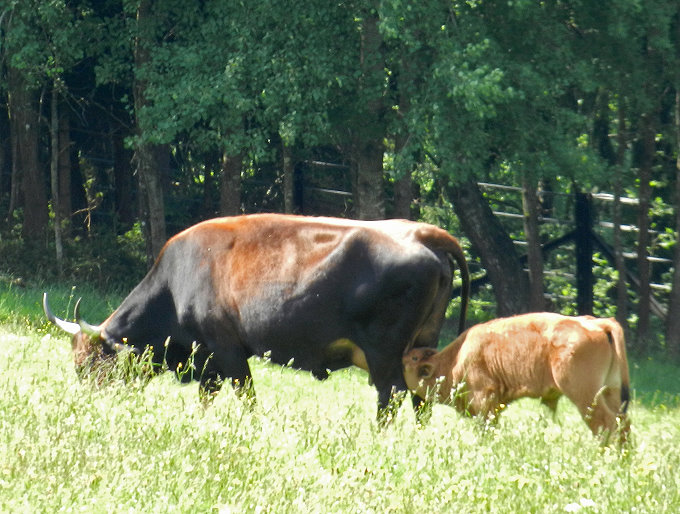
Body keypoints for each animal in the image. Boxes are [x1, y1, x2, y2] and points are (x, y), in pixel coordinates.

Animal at [404, 310, 632, 442]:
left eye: (412, 360)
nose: (403, 356)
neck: (456, 358)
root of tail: (600, 324)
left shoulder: (484, 399)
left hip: (585, 394)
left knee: (606, 422)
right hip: (611, 390)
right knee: (623, 422)